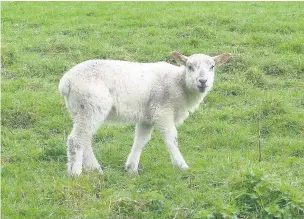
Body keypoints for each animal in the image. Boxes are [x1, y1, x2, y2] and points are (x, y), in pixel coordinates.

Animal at [58, 51, 232, 176]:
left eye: (212, 67)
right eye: (190, 66)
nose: (203, 81)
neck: (179, 83)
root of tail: (66, 82)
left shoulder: (147, 117)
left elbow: (140, 141)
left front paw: (131, 168)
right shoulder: (162, 111)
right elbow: (171, 138)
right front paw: (181, 165)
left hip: (80, 110)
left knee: (85, 139)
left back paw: (95, 169)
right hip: (90, 106)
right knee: (76, 140)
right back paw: (76, 173)